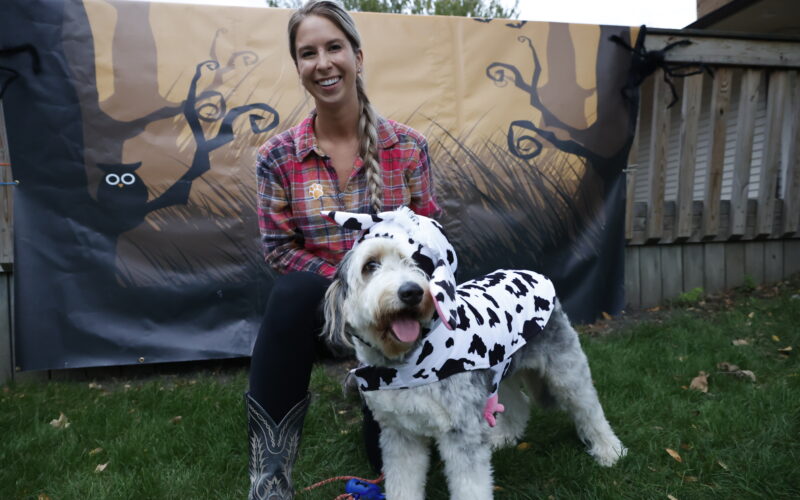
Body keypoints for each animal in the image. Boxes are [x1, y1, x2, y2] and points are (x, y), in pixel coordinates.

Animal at [318, 207, 624, 500]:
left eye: (418, 264)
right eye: (370, 265)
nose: (411, 292)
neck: (408, 361)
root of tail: (532, 274)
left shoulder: (461, 432)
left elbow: (470, 486)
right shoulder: (400, 434)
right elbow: (403, 483)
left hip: (566, 369)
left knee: (588, 407)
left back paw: (610, 450)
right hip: (500, 373)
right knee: (520, 402)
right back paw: (505, 436)